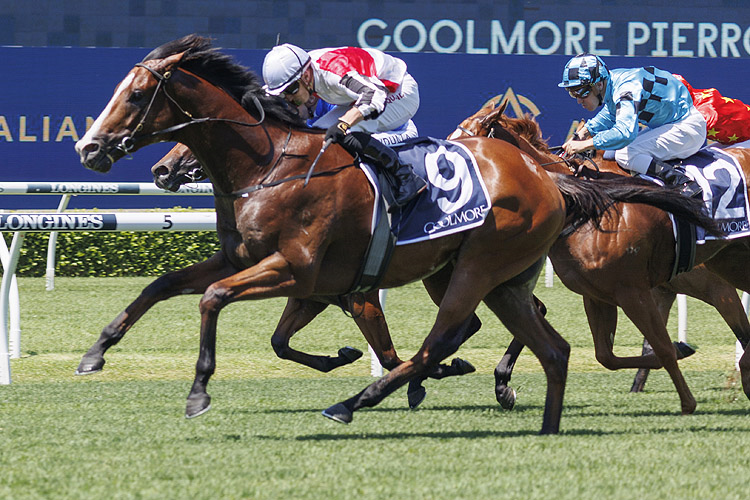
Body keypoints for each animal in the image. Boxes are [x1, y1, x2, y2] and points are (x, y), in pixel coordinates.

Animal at [75, 36, 716, 434]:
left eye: (137, 95)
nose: (90, 148)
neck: (269, 164)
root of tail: (548, 179)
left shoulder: (297, 269)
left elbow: (213, 299)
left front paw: (199, 390)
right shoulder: (254, 263)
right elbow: (164, 286)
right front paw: (96, 351)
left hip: (478, 267)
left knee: (445, 335)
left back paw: (359, 401)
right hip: (486, 276)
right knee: (547, 346)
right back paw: (534, 417)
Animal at [450, 102, 750, 410]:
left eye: (468, 146)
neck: (585, 206)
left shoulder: (639, 290)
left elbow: (664, 347)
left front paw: (688, 400)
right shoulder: (602, 294)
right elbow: (609, 355)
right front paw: (680, 351)